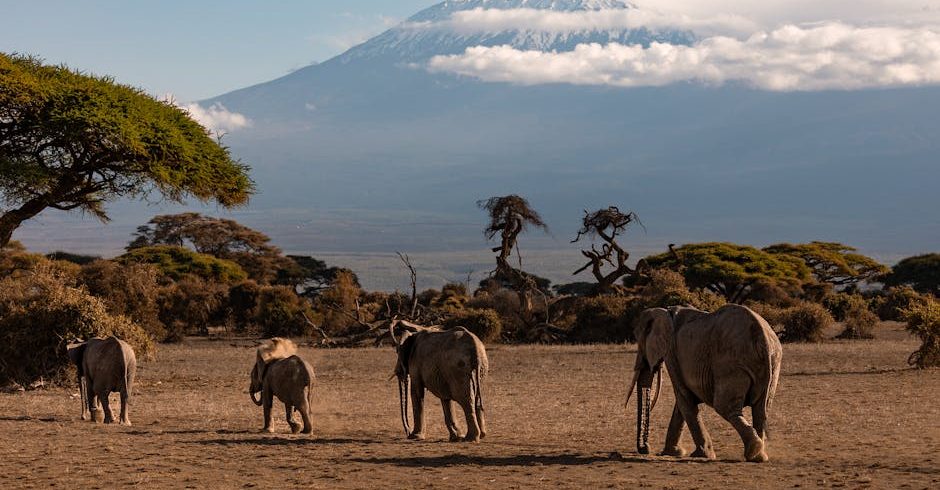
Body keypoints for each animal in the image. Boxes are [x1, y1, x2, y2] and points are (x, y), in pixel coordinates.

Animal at [626, 304, 782, 462]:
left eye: (640, 342)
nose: (645, 448)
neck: (664, 311)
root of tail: (762, 336)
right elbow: (682, 403)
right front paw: (673, 453)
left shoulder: (671, 353)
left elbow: (683, 398)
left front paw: (701, 455)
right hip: (772, 363)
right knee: (761, 409)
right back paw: (759, 456)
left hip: (731, 364)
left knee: (725, 407)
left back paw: (754, 450)